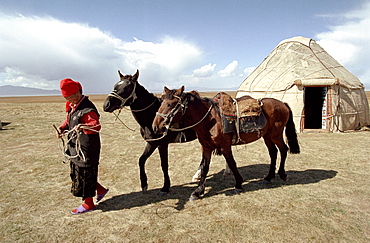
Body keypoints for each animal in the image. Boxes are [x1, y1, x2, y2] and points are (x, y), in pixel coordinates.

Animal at [152, 86, 300, 200]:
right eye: (161, 102)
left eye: (170, 104)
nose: (155, 126)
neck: (210, 120)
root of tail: (283, 104)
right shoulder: (206, 147)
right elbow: (205, 167)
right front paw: (198, 191)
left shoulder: (224, 146)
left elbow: (232, 163)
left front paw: (238, 184)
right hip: (267, 136)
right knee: (273, 152)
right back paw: (268, 178)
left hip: (276, 134)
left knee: (283, 149)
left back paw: (282, 175)